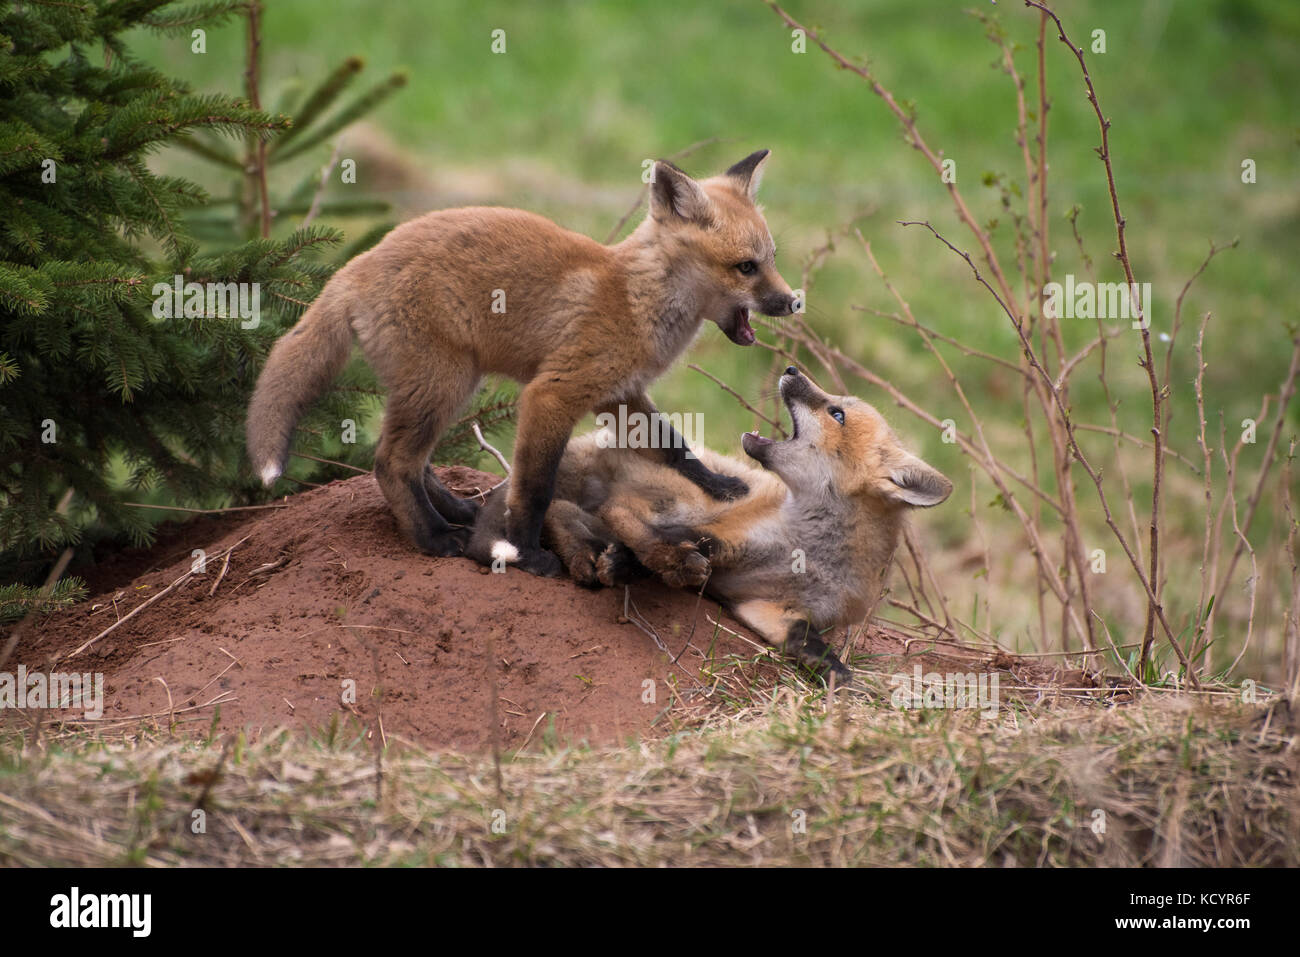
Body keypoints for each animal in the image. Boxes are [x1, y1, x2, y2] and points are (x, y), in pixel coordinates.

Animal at [243, 145, 790, 572]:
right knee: (392, 463)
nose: (793, 302)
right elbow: (534, 487)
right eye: (746, 267)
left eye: (773, 259)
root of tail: (353, 266)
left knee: (414, 461)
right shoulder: (554, 392)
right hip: (444, 382)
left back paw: (457, 512)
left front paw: (721, 486)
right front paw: (527, 554)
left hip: (447, 387)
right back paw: (433, 538)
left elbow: (674, 447)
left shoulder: (619, 393)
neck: (637, 300)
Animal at [462, 369, 951, 681]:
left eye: (837, 415)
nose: (792, 368)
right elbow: (669, 544)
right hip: (689, 496)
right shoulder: (727, 536)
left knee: (574, 513)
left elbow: (808, 645)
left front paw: (838, 676)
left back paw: (595, 557)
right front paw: (655, 563)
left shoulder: (771, 609)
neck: (810, 554)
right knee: (611, 512)